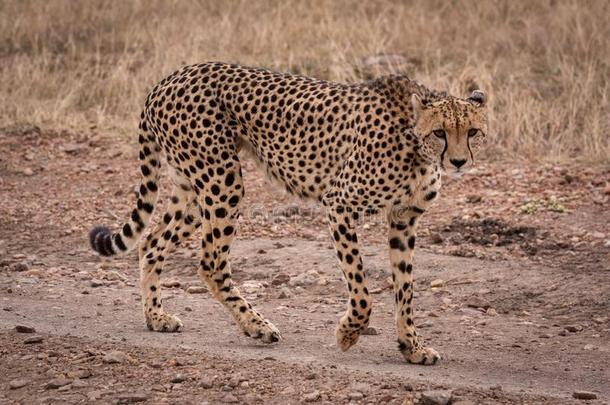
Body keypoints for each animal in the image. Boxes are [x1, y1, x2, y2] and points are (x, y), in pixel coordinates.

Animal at [89, 61, 484, 364]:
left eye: (473, 132)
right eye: (440, 132)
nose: (459, 161)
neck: (416, 144)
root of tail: (170, 77)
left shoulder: (404, 219)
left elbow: (405, 288)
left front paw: (411, 347)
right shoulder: (338, 203)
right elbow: (361, 288)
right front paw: (348, 334)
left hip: (192, 188)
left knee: (151, 243)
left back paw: (156, 317)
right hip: (222, 181)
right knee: (211, 261)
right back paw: (257, 326)